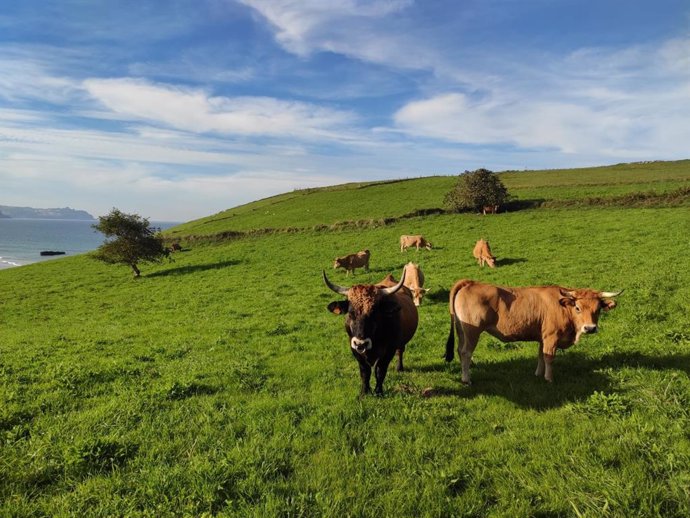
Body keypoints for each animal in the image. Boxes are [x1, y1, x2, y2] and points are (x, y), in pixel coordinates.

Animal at [444, 280, 620, 386]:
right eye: (578, 308)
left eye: (598, 309)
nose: (590, 328)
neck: (563, 307)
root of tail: (470, 282)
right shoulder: (551, 337)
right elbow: (549, 358)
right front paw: (549, 378)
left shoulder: (543, 337)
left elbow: (541, 355)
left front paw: (538, 374)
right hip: (472, 332)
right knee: (466, 353)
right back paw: (466, 379)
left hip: (462, 331)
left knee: (459, 350)